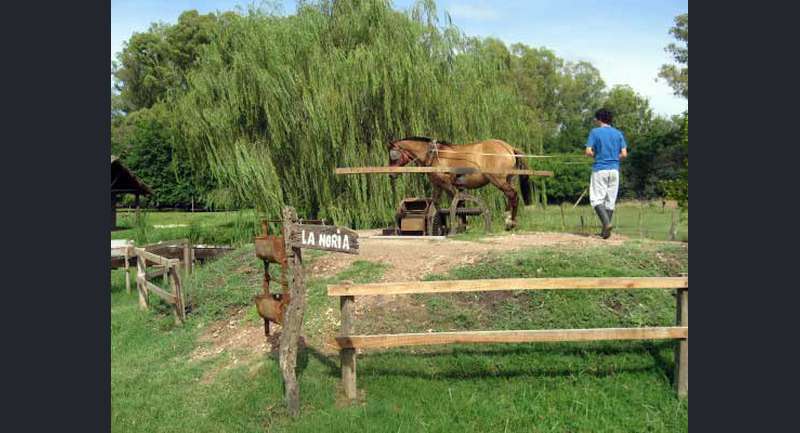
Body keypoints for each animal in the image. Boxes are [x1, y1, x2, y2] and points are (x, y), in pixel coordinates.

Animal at [388, 136, 532, 230]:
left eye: (392, 155)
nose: (391, 174)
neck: (434, 155)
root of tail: (509, 149)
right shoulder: (438, 186)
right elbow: (438, 205)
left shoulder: (449, 186)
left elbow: (457, 205)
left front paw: (460, 226)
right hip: (508, 180)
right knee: (510, 197)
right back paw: (508, 219)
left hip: (498, 180)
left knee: (513, 195)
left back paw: (511, 223)